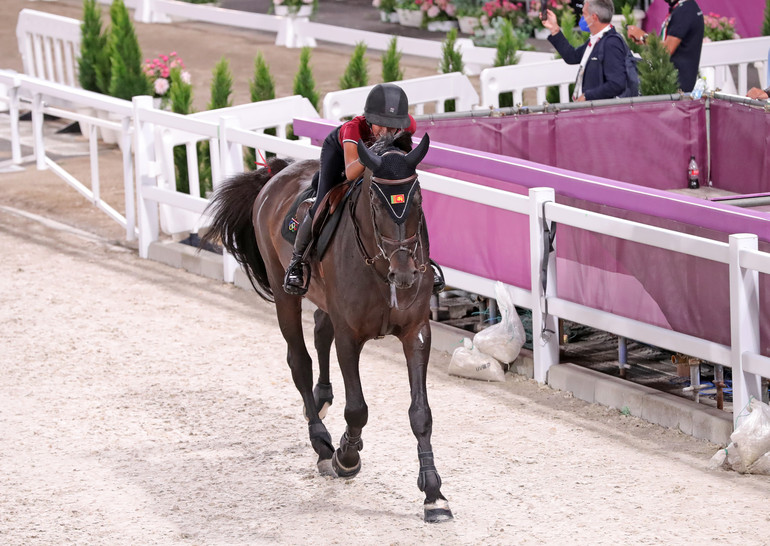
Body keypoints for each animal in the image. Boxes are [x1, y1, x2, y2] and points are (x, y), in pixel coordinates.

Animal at [201, 132, 450, 524]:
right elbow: (357, 409)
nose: (406, 273)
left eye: (418, 198)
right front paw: (346, 457)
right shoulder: (351, 336)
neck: (382, 268)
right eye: (375, 201)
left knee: (320, 330)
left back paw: (320, 400)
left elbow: (420, 414)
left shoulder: (416, 332)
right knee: (299, 359)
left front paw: (433, 494)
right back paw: (321, 443)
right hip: (285, 293)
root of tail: (278, 171)